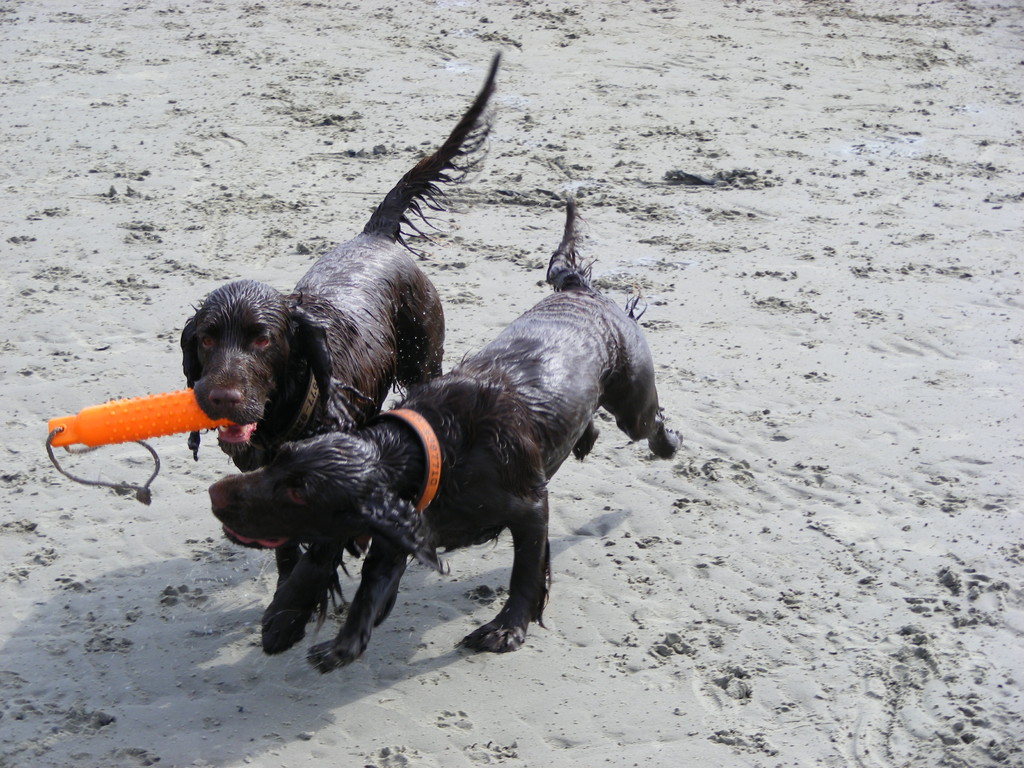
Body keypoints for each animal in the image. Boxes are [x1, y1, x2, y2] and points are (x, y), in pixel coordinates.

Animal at [188, 54, 503, 655]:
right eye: (207, 339)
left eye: (263, 339)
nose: (219, 397)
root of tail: (376, 236)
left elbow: (322, 546)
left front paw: (287, 617)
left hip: (423, 357)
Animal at [205, 199, 679, 671]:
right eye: (281, 456)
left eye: (300, 491)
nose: (215, 494)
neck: (441, 450)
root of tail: (580, 290)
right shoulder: (400, 531)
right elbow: (370, 589)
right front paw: (341, 644)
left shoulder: (530, 509)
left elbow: (526, 573)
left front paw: (506, 628)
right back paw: (585, 439)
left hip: (632, 400)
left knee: (649, 422)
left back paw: (669, 443)